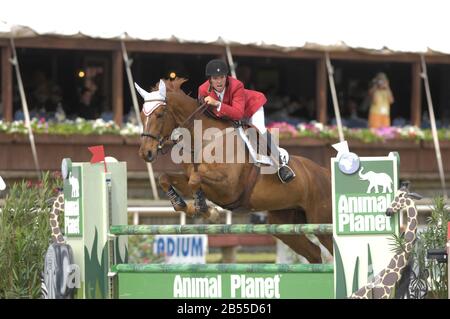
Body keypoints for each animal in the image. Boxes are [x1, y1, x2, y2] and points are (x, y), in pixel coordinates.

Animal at [135, 78, 332, 264]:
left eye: (160, 114)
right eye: (142, 115)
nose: (146, 153)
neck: (203, 140)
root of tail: (325, 172)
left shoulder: (228, 186)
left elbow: (195, 180)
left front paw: (206, 210)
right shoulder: (195, 180)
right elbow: (166, 178)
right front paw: (185, 206)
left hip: (321, 222)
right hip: (284, 223)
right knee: (314, 252)